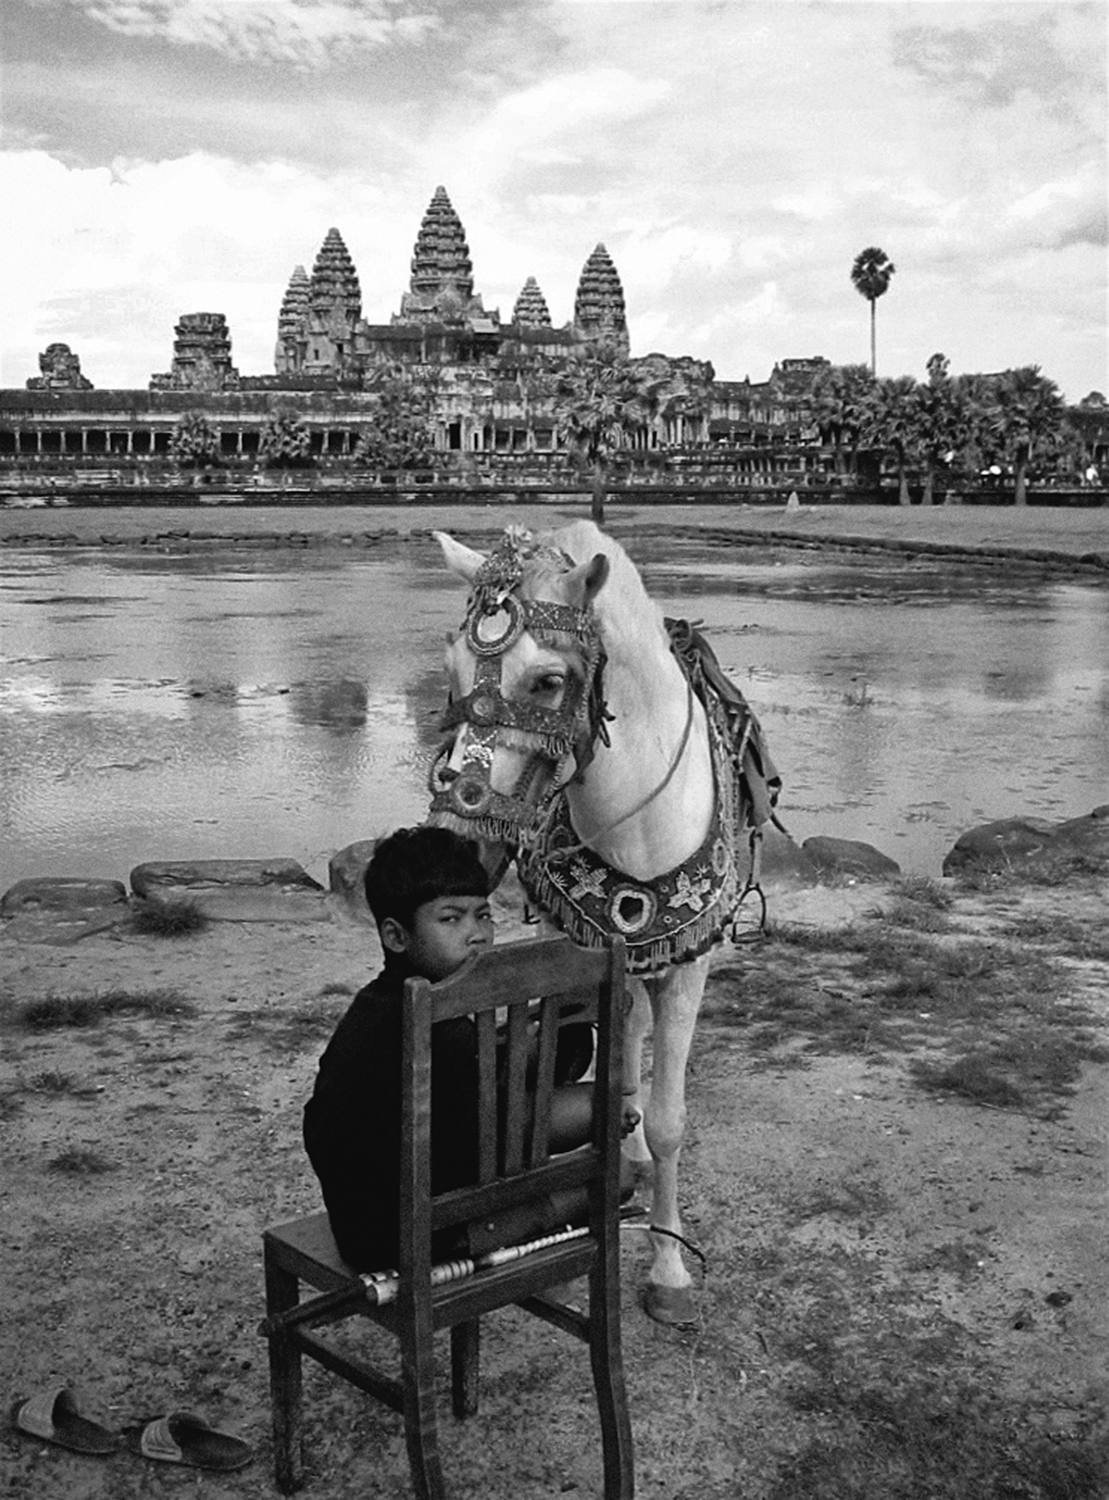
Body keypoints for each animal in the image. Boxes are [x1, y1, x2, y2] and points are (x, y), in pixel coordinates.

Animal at [429, 522, 774, 1320]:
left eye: (548, 682)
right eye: (452, 673)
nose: (459, 839)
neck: (637, 822)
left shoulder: (686, 967)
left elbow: (671, 1117)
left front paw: (669, 1269)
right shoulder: (577, 950)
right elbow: (604, 1082)